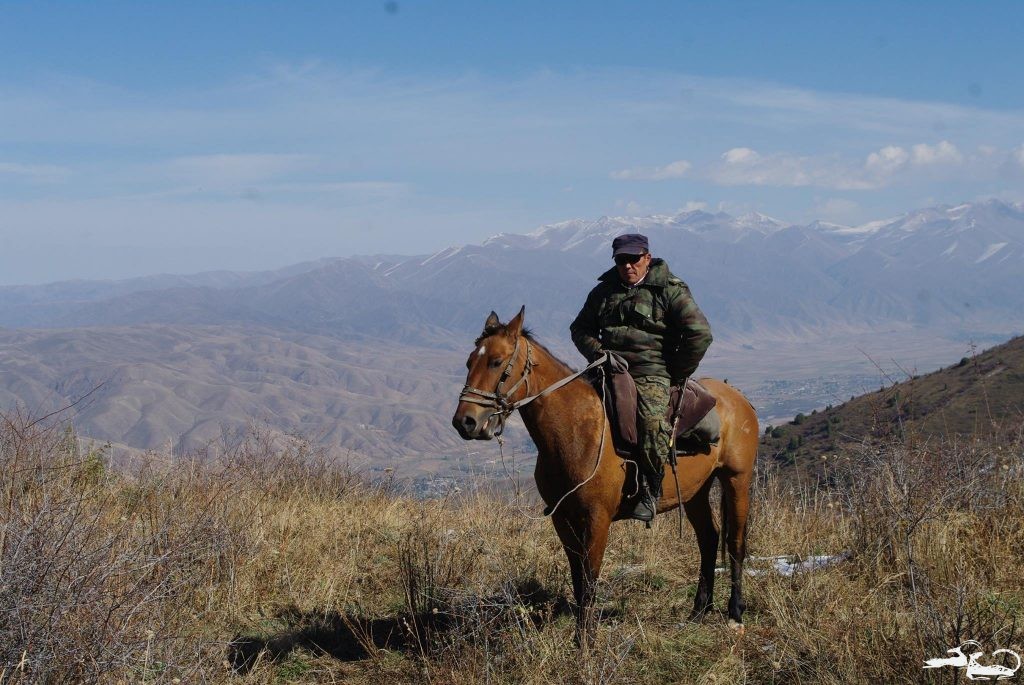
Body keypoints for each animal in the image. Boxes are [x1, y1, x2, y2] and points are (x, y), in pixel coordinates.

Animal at [450, 307, 761, 643]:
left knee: (735, 542)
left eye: (496, 361)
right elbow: (577, 577)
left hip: (736, 479)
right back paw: (699, 611)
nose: (465, 422)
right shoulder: (563, 518)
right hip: (696, 492)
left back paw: (735, 614)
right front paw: (580, 636)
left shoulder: (597, 517)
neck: (575, 429)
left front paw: (585, 642)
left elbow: (590, 576)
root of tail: (737, 397)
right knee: (708, 538)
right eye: (469, 361)